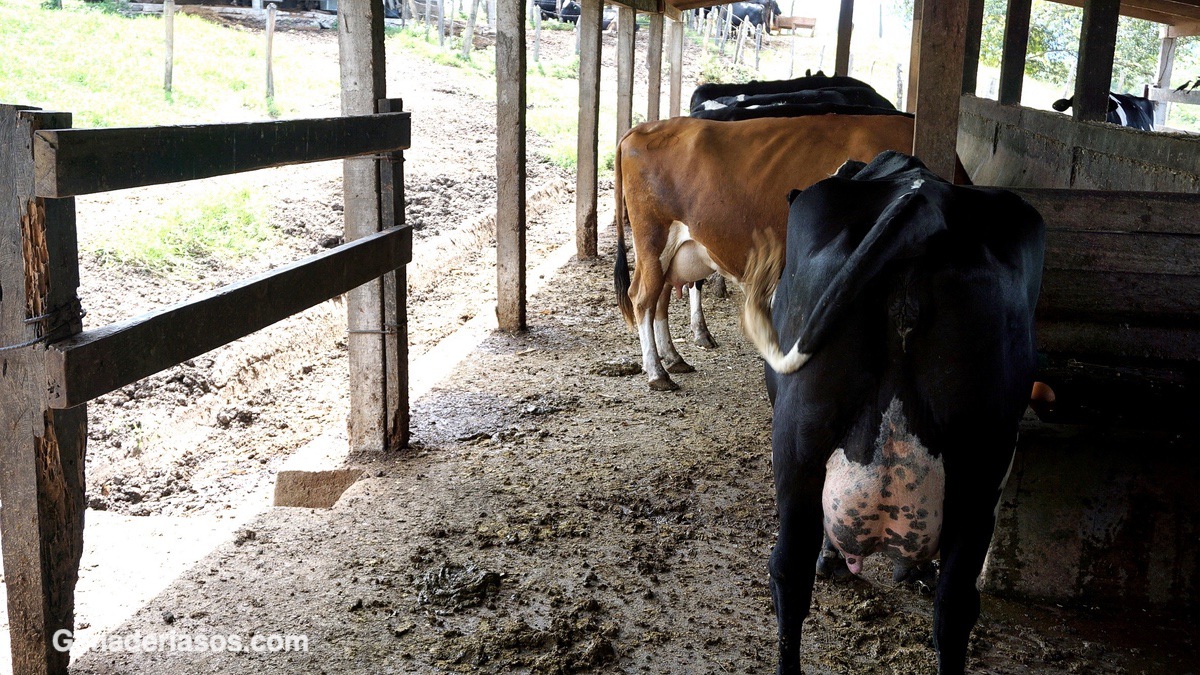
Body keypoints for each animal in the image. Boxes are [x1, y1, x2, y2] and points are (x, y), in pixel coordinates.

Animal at [614, 114, 960, 389]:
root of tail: (645, 127)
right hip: (653, 240)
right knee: (642, 298)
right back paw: (657, 373)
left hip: (672, 253)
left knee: (659, 299)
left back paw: (673, 359)